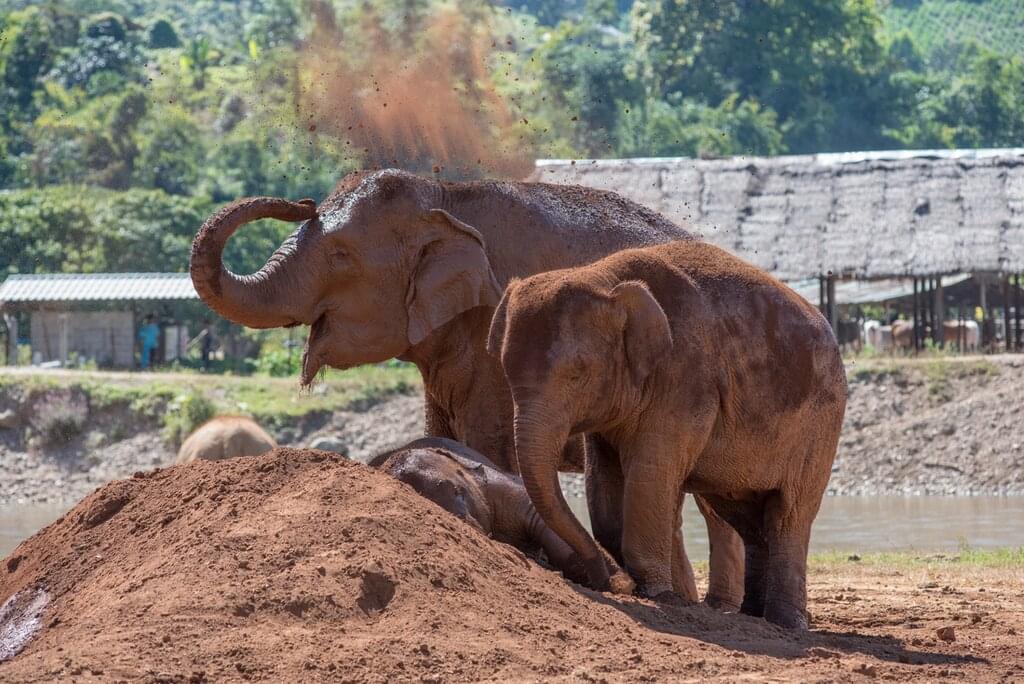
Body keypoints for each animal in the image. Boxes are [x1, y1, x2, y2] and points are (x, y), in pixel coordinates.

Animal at [486, 240, 847, 629]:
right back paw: (753, 615)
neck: (603, 276)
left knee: (787, 514)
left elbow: (650, 474)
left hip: (819, 427)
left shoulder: (684, 379)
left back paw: (785, 623)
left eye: (578, 373)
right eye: (504, 371)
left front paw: (657, 594)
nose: (612, 582)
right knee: (746, 517)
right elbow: (604, 483)